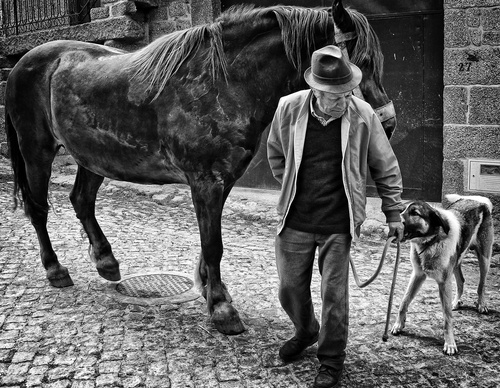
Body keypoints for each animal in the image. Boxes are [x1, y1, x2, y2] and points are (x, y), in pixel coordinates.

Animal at [3, 0, 394, 334]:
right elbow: (214, 243)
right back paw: (55, 269)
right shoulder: (206, 181)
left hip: (93, 157)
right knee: (38, 209)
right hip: (36, 152)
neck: (224, 83)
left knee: (81, 201)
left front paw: (208, 287)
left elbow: (210, 242)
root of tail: (25, 63)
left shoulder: (222, 180)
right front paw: (221, 308)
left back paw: (106, 261)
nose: (386, 124)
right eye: (357, 62)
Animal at [390, 194, 492, 354]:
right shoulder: (418, 275)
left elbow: (447, 317)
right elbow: (404, 301)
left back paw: (481, 305)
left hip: (484, 259)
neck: (431, 242)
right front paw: (398, 325)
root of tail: (477, 200)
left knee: (481, 285)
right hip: (456, 261)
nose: (394, 223)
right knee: (461, 281)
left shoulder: (444, 282)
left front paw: (450, 343)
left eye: (415, 213)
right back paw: (456, 302)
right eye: (402, 210)